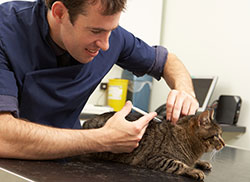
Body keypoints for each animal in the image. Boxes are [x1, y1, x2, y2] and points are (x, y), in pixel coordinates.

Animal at [81, 109, 225, 181]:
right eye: (217, 135)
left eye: (220, 134)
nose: (224, 144)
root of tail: (87, 121)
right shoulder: (156, 159)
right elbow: (178, 164)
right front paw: (194, 170)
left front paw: (202, 163)